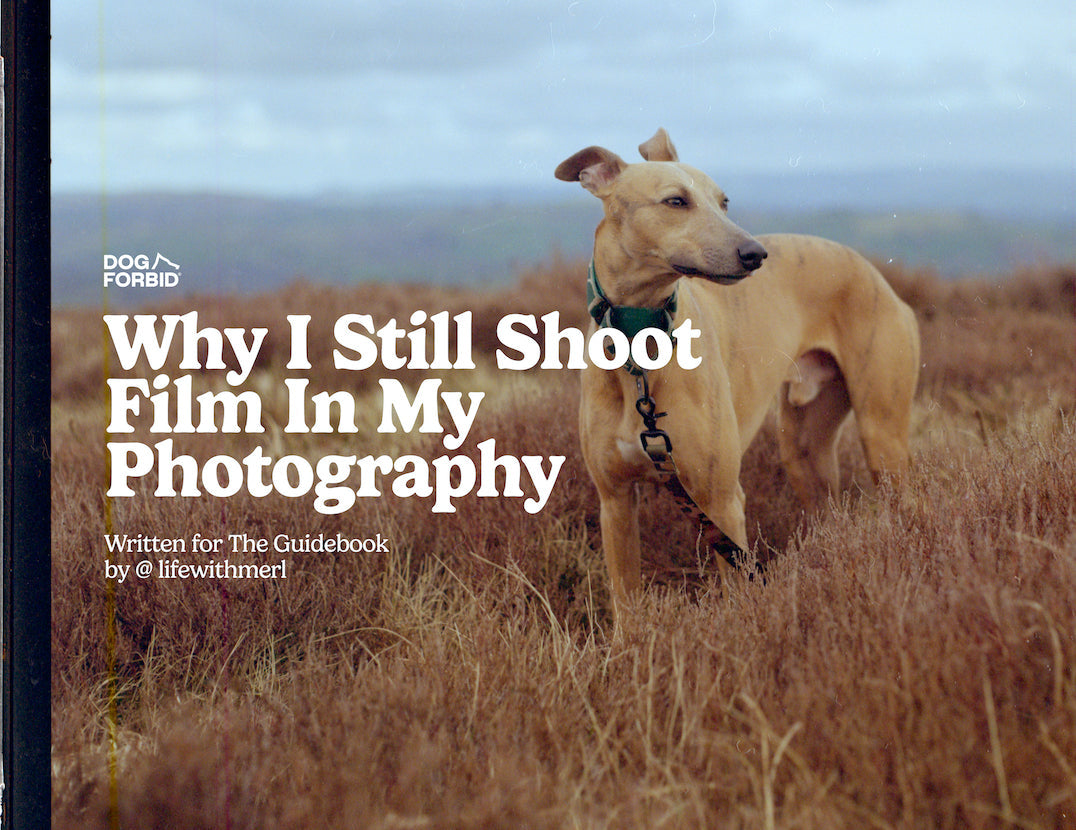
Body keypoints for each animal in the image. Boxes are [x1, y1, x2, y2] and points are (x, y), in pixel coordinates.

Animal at [559, 128, 921, 624]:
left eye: (723, 201)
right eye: (676, 201)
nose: (755, 254)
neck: (641, 347)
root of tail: (877, 277)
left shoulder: (721, 501)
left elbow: (734, 592)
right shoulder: (614, 501)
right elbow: (626, 600)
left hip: (882, 438)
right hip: (804, 450)